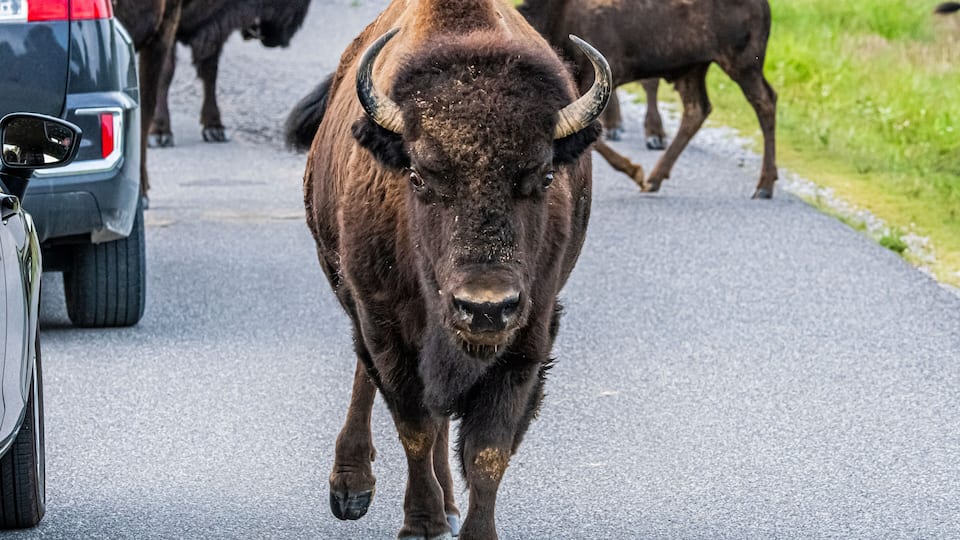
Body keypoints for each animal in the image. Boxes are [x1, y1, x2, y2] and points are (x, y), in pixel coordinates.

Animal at [148, 0, 312, 147]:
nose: (279, 41)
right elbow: (165, 73)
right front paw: (160, 133)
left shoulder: (213, 29)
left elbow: (210, 72)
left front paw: (215, 129)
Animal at [285, 0, 611, 537]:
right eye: (418, 176)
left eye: (545, 176)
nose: (485, 306)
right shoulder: (386, 325)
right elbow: (414, 427)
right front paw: (423, 523)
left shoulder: (528, 338)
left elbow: (486, 452)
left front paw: (469, 525)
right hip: (353, 294)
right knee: (372, 379)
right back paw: (352, 488)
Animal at [519, 0, 779, 199]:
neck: (560, 15)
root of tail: (764, 5)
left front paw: (634, 171)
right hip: (695, 69)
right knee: (697, 109)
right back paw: (654, 179)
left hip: (742, 66)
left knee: (765, 101)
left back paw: (764, 186)